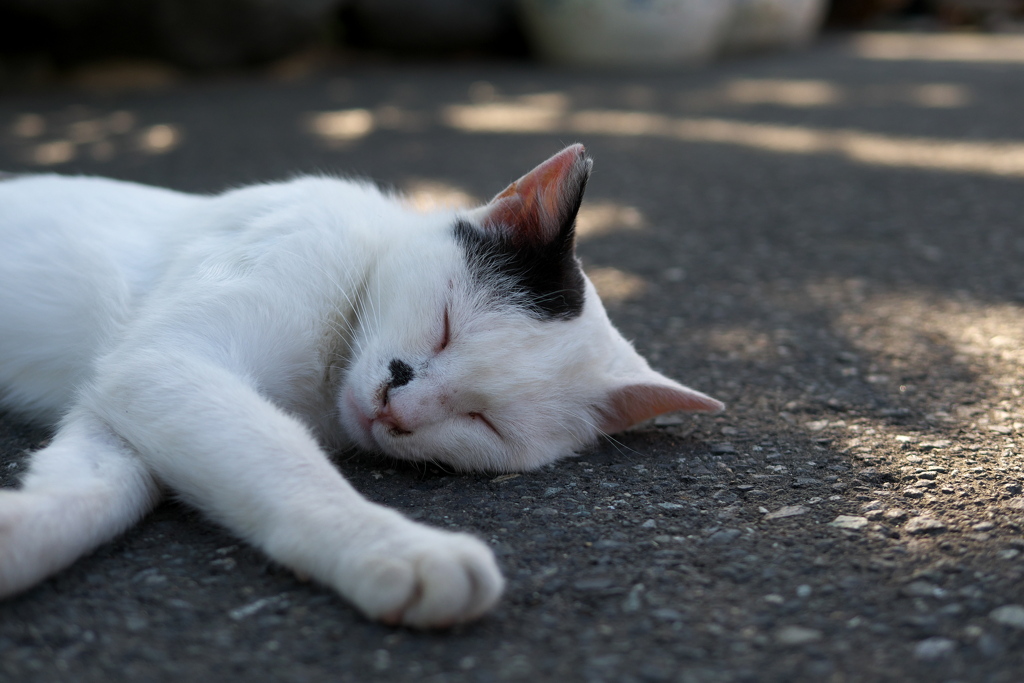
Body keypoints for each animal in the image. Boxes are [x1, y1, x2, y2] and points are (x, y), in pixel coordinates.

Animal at [0, 144, 724, 626]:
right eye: (445, 327)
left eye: (484, 420)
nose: (394, 405)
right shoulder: (164, 359)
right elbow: (286, 463)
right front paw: (397, 547)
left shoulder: (126, 393)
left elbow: (97, 492)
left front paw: (18, 535)